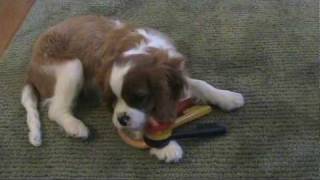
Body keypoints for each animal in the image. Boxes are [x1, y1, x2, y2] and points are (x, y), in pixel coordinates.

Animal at [21, 15, 244, 162]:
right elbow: (141, 125)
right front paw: (165, 147)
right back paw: (76, 126)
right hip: (73, 66)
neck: (141, 47)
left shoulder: (176, 74)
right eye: (112, 99)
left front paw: (226, 97)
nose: (121, 120)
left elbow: (199, 84)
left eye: (139, 97)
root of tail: (30, 67)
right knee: (55, 110)